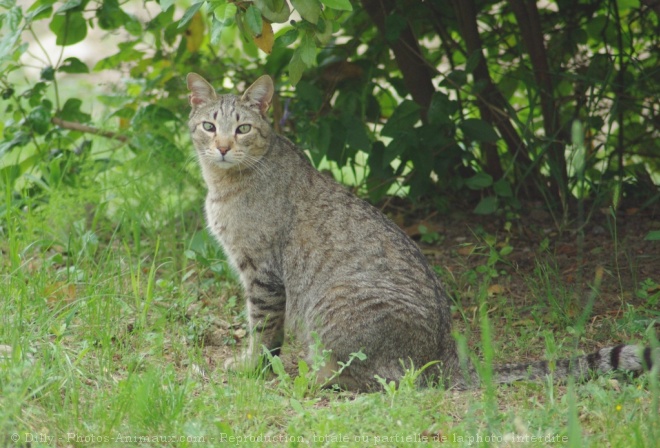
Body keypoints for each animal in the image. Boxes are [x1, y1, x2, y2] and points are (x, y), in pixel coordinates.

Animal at [184, 73, 656, 392]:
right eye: (209, 126)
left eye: (243, 128)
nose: (223, 146)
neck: (225, 183)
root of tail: (444, 354)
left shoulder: (263, 274)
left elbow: (263, 332)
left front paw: (253, 370)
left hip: (335, 310)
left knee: (376, 379)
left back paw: (313, 380)